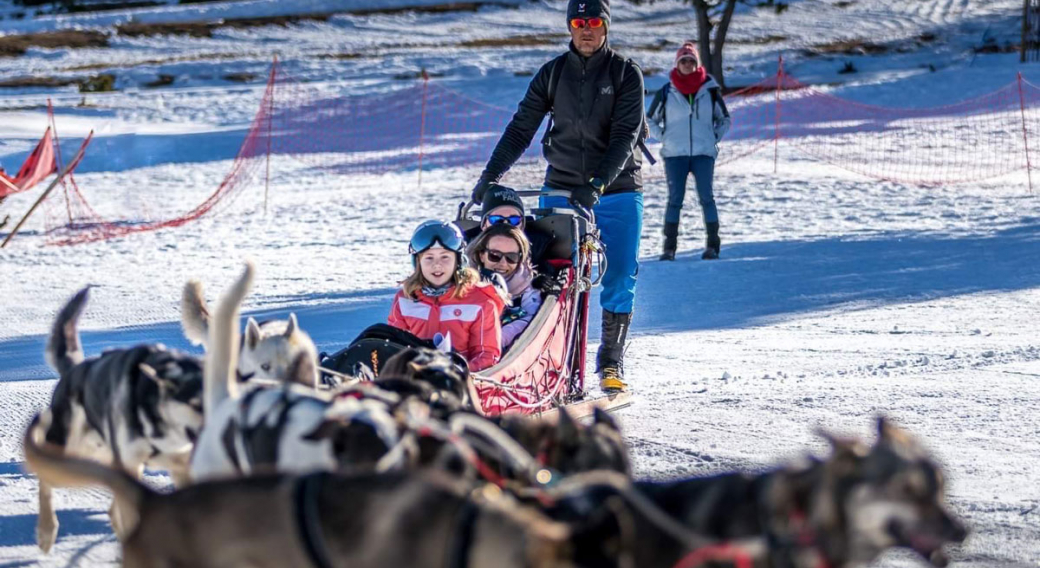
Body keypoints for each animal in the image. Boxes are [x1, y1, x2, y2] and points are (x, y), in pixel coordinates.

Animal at [29, 287, 204, 549]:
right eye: (195, 404)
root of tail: (74, 370)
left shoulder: (180, 468)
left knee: (114, 511)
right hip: (72, 452)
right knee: (45, 479)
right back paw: (46, 531)